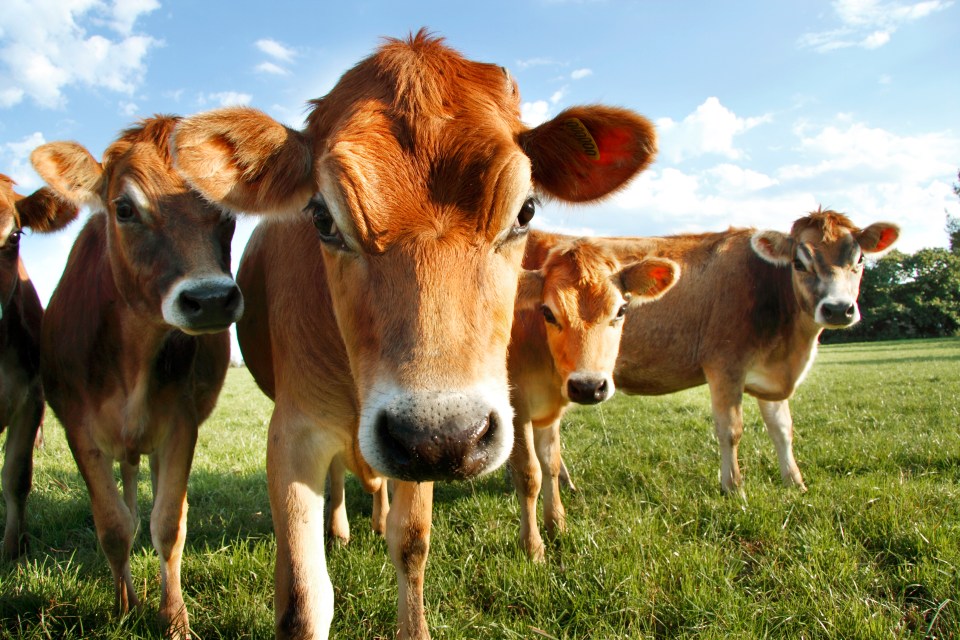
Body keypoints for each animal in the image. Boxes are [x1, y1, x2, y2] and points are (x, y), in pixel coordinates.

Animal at [31, 116, 246, 640]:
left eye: (225, 206)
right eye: (124, 208)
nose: (210, 299)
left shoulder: (181, 425)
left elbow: (169, 523)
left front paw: (175, 619)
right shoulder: (77, 428)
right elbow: (112, 524)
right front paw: (124, 604)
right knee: (126, 495)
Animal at [169, 31, 656, 640]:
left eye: (525, 211)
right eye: (322, 219)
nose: (442, 435)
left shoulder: (425, 454)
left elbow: (412, 542)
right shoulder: (294, 432)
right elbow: (305, 599)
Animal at [520, 210, 896, 552]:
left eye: (859, 259)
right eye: (800, 263)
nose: (838, 308)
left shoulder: (770, 376)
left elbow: (782, 428)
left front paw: (794, 481)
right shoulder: (725, 366)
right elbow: (731, 430)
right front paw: (734, 488)